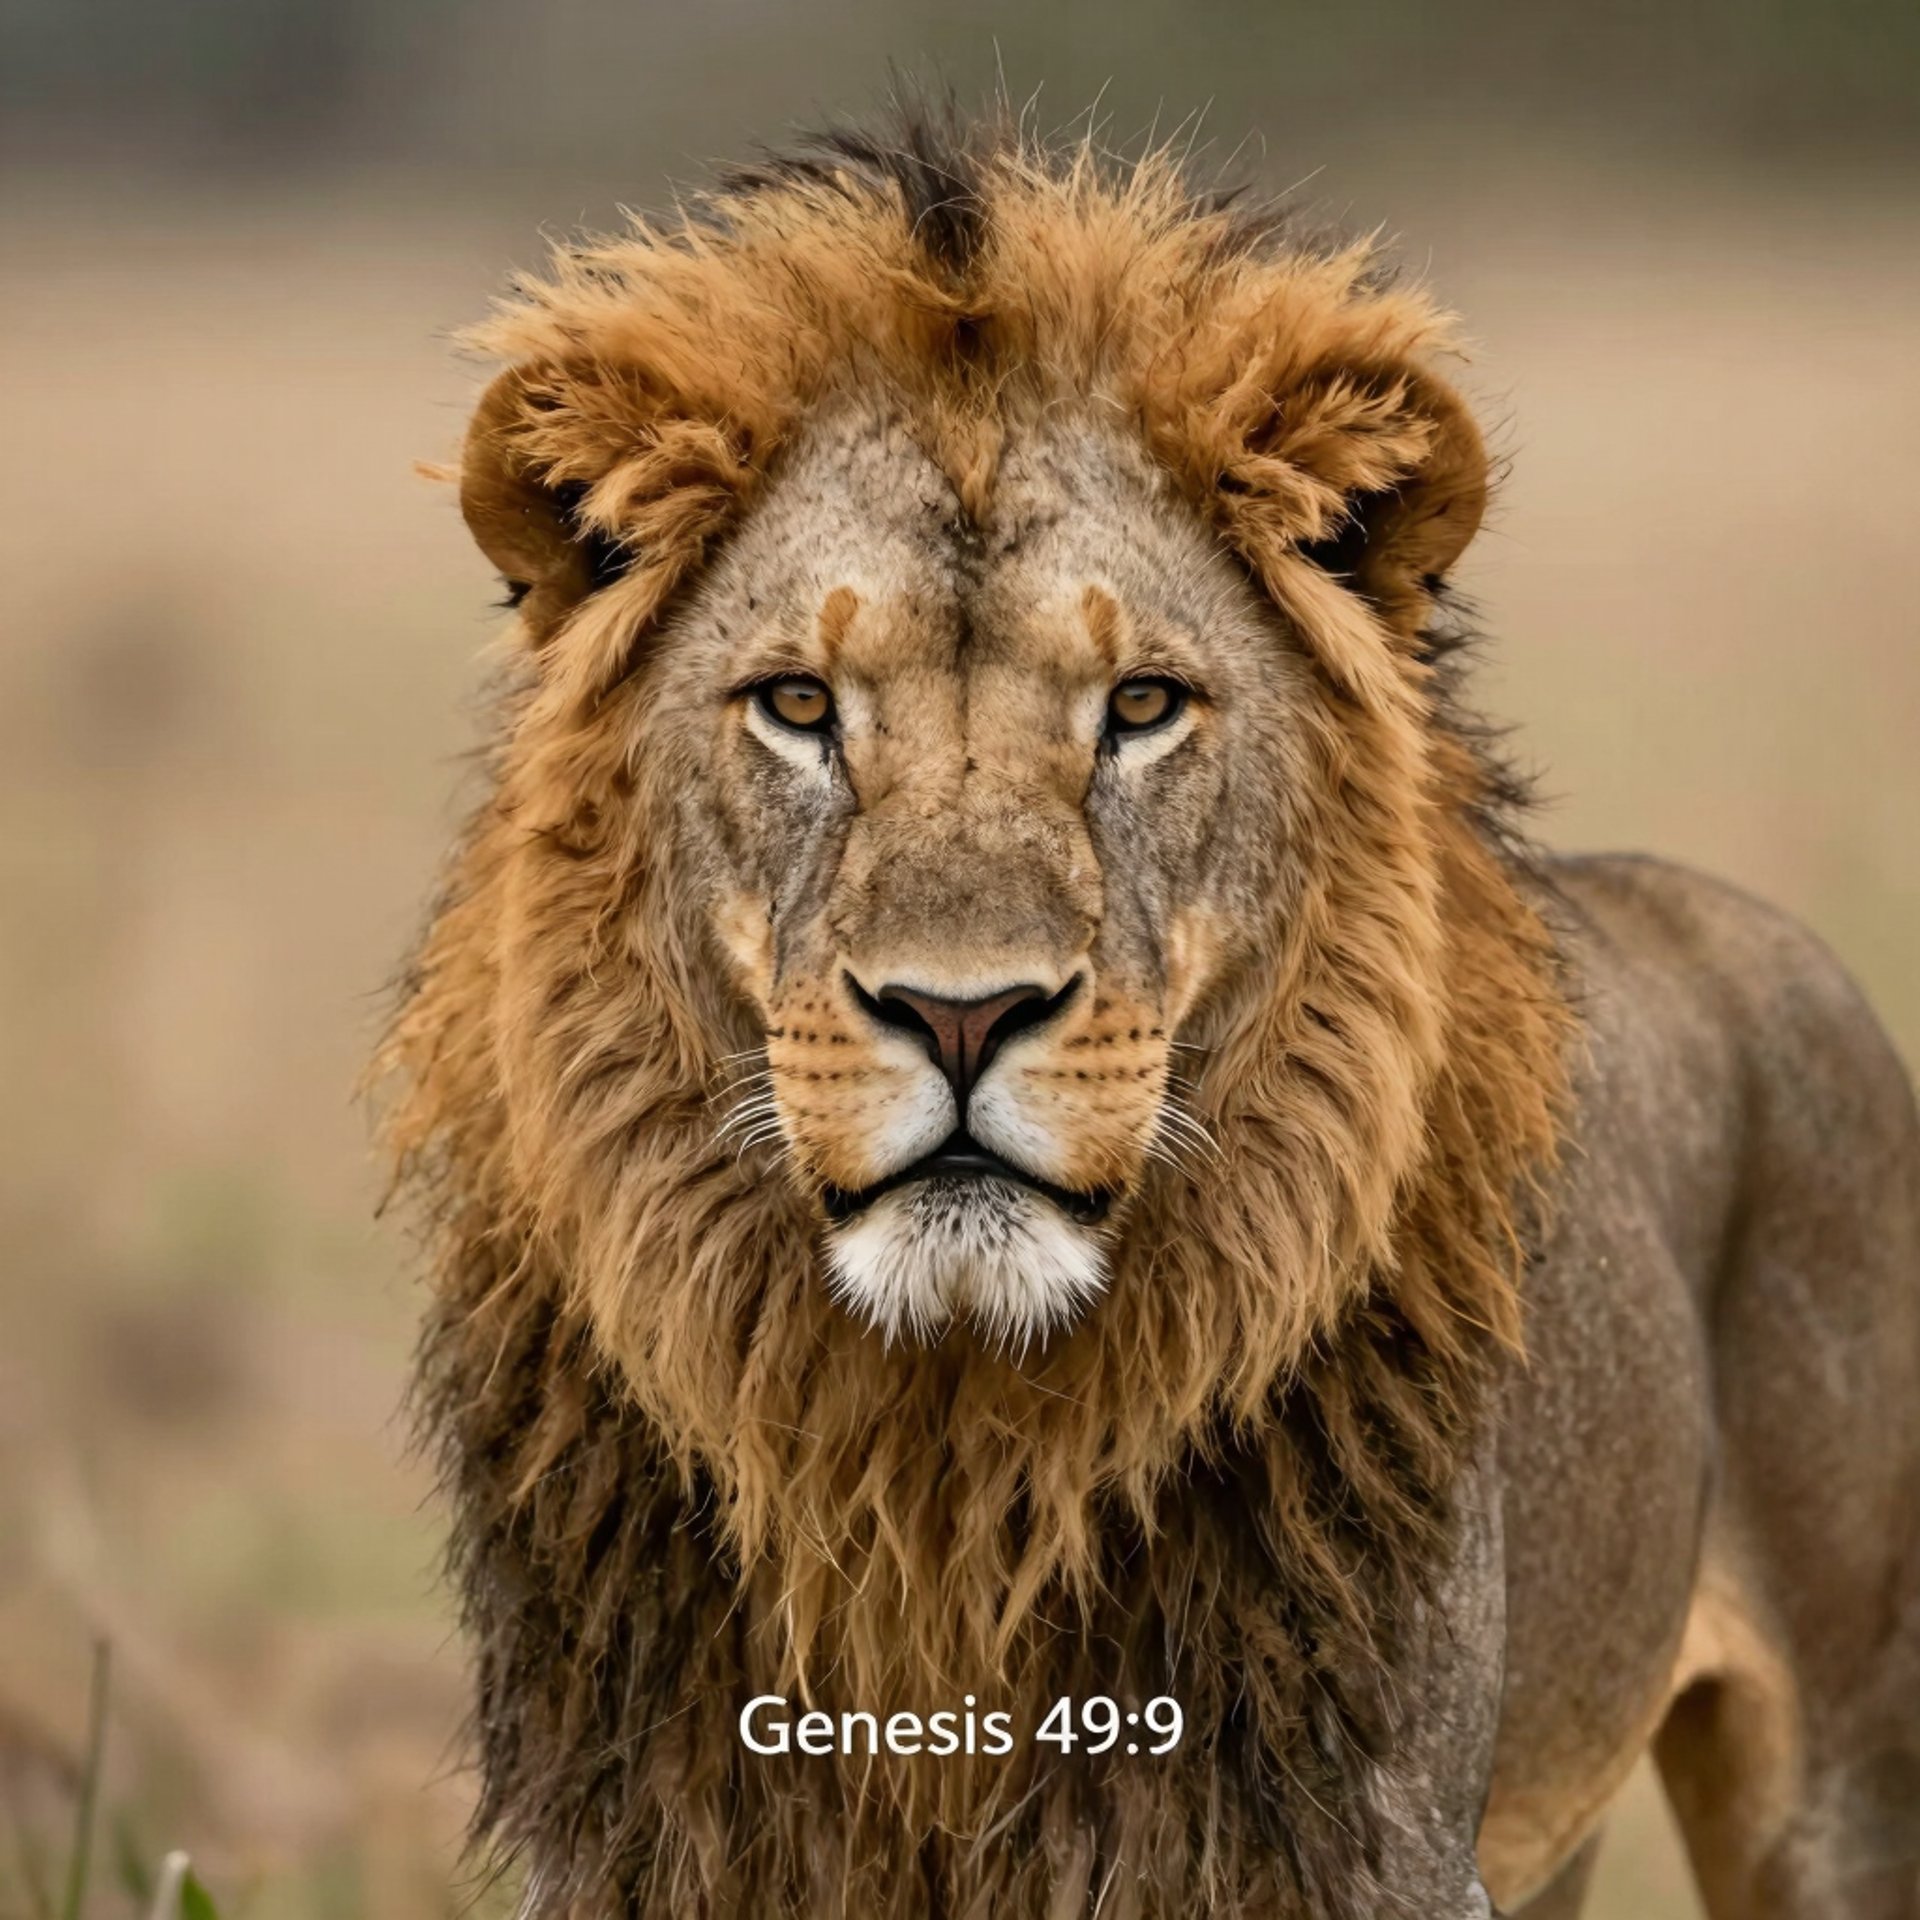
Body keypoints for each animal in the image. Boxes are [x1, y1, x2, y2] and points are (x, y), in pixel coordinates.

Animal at [379, 112, 1920, 1919]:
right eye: (799, 706)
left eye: (1141, 706)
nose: (960, 1015)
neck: (939, 1459)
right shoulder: (649, 1841)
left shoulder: (1362, 1837)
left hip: (1845, 1785)